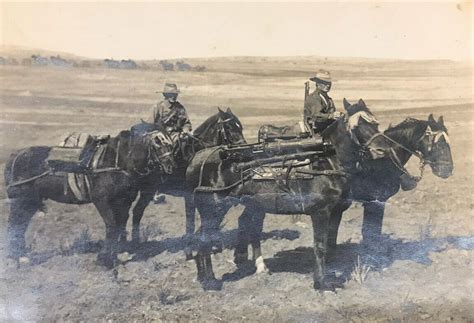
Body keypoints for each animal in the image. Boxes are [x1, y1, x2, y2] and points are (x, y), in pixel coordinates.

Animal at [4, 123, 176, 268]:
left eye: (170, 141)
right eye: (157, 142)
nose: (170, 166)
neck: (117, 162)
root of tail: (16, 155)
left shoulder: (124, 201)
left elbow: (120, 224)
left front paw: (118, 253)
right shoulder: (101, 201)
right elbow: (111, 225)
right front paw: (105, 259)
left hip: (31, 201)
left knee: (21, 224)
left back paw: (22, 256)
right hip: (21, 200)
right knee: (14, 223)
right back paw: (16, 257)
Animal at [131, 107, 248, 260]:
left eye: (240, 126)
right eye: (228, 127)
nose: (243, 150)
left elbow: (214, 216)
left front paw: (213, 245)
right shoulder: (191, 196)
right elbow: (192, 220)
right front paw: (189, 250)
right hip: (147, 191)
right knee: (137, 211)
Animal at [185, 125, 348, 292]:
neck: (328, 163)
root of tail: (196, 159)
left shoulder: (336, 212)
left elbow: (331, 242)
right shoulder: (320, 212)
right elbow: (320, 247)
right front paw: (321, 284)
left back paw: (204, 276)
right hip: (214, 210)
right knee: (205, 239)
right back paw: (210, 282)